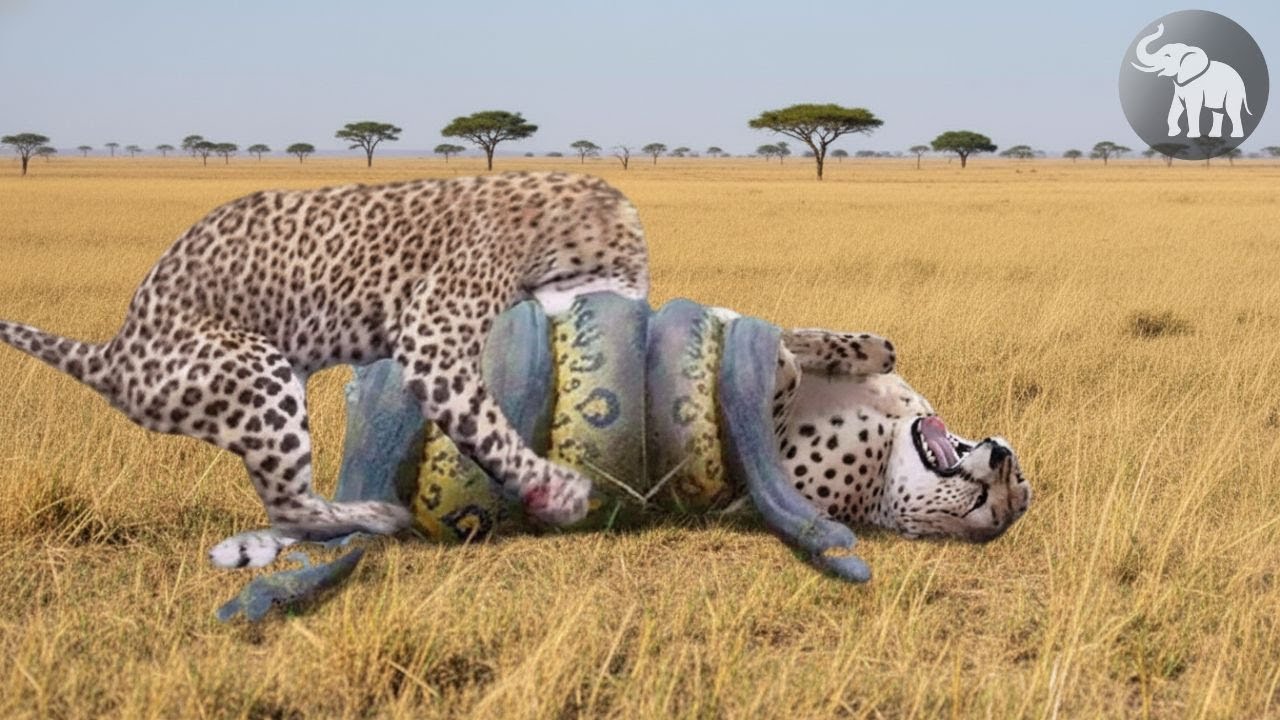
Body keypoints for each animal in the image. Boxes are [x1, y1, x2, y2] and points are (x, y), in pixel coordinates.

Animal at [0, 171, 648, 564]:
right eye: (631, 272)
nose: (642, 306)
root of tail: (112, 352)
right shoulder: (433, 339)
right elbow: (487, 427)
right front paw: (557, 491)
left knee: (285, 506)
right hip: (258, 371)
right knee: (290, 500)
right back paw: (378, 516)